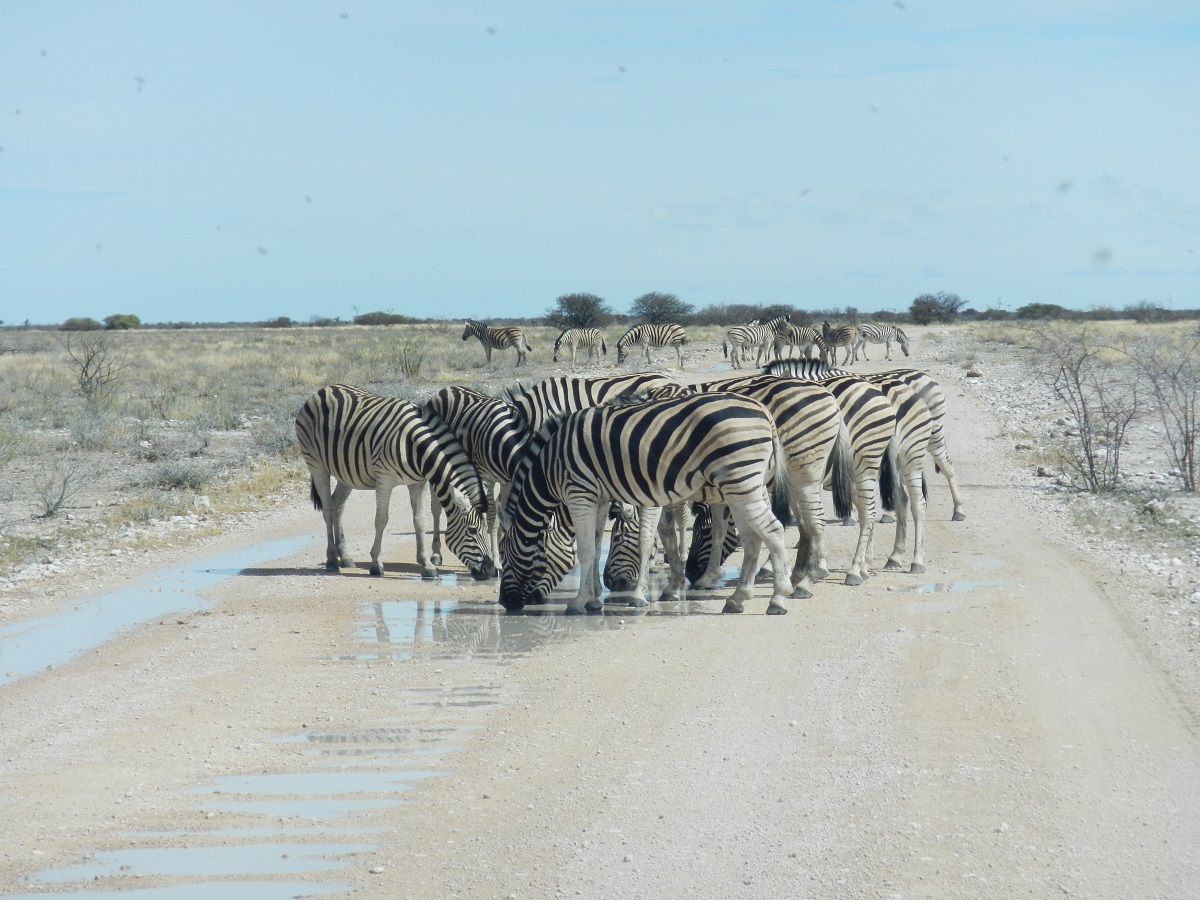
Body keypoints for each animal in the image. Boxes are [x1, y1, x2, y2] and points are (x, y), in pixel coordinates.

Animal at [295, 384, 496, 580]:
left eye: (485, 528)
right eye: (472, 530)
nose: (488, 571)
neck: (415, 448)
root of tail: (323, 390)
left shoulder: (417, 483)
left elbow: (419, 520)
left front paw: (426, 565)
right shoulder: (384, 480)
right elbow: (381, 519)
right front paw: (376, 564)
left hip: (346, 472)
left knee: (338, 505)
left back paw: (345, 557)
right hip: (316, 464)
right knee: (328, 509)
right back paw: (331, 560)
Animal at [496, 393, 806, 619]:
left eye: (505, 554)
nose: (505, 603)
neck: (551, 464)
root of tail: (763, 410)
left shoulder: (579, 493)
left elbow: (585, 551)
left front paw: (579, 602)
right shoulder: (599, 496)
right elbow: (595, 546)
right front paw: (595, 599)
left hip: (742, 482)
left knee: (773, 530)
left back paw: (778, 598)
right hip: (743, 486)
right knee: (753, 537)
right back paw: (737, 599)